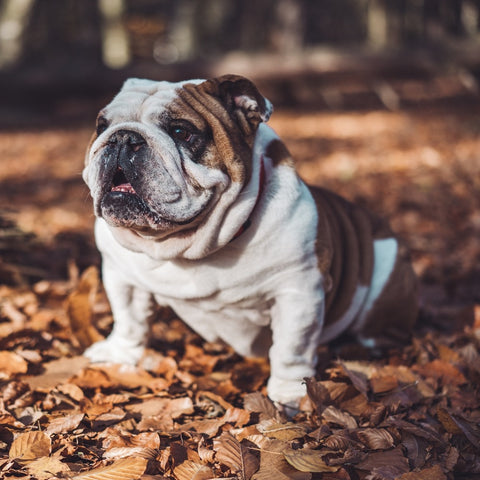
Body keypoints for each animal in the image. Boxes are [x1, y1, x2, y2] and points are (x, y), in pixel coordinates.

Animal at [81, 73, 416, 406]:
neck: (191, 247)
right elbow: (129, 319)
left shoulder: (298, 292)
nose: (123, 138)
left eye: (181, 131)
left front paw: (291, 393)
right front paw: (118, 353)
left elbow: (291, 349)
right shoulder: (122, 276)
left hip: (385, 273)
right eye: (101, 125)